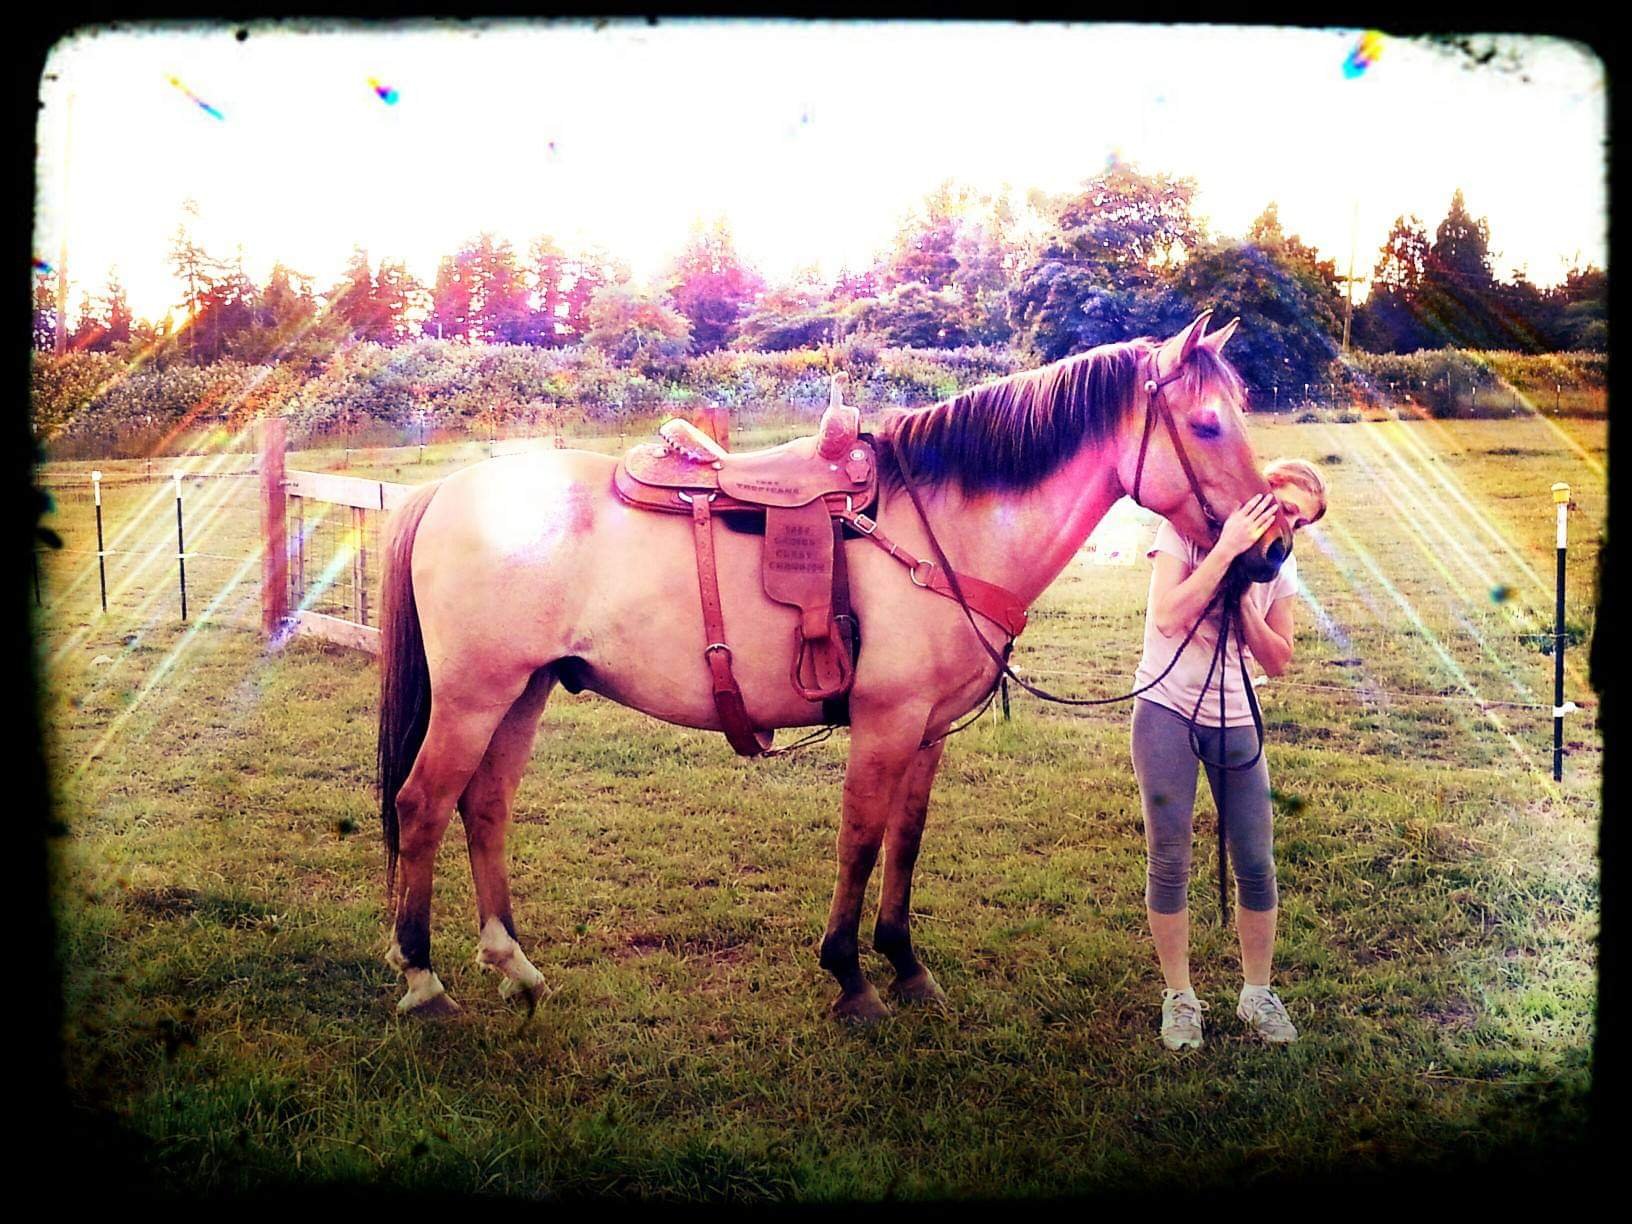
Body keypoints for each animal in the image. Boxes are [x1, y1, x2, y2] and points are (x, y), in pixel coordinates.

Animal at [375, 310, 1292, 1022]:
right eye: (1208, 424)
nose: (1273, 548)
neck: (940, 532)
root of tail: (445, 492)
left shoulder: (928, 733)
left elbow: (906, 842)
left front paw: (905, 962)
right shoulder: (885, 724)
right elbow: (860, 838)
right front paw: (851, 976)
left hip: (521, 693)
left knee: (485, 806)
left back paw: (514, 966)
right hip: (474, 696)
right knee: (423, 806)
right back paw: (423, 981)